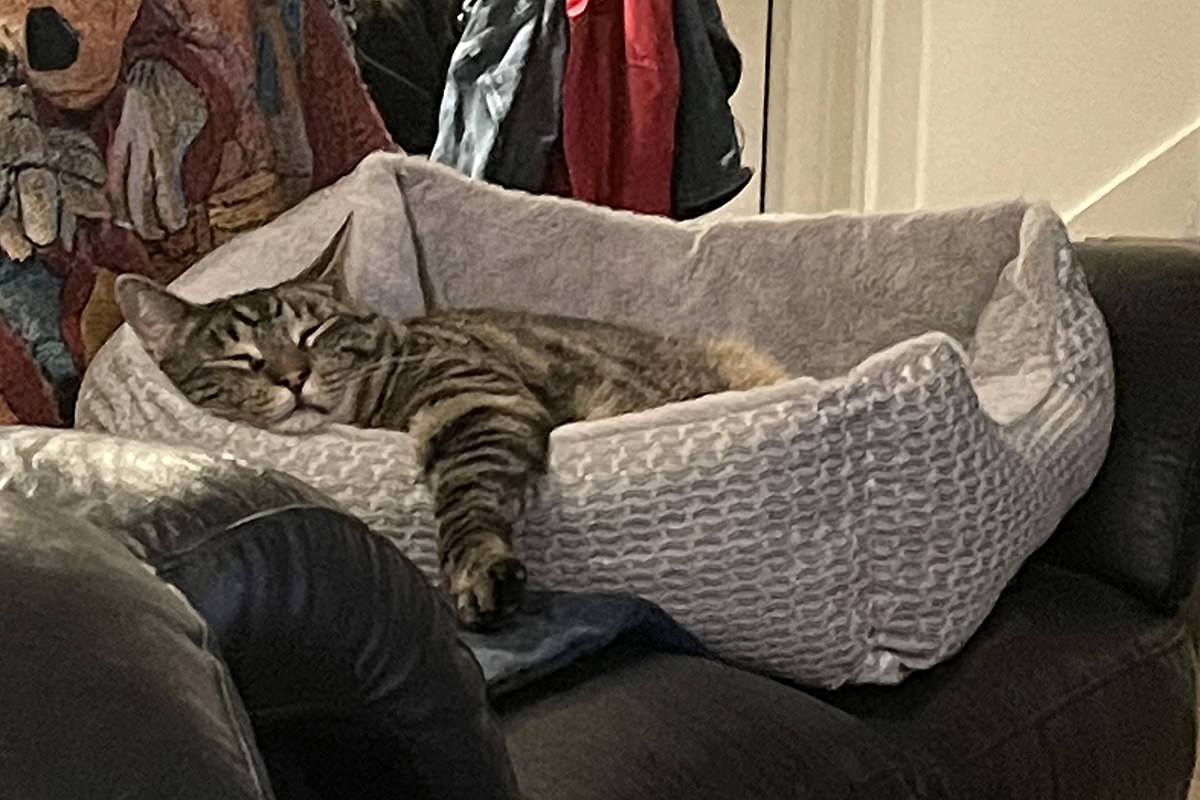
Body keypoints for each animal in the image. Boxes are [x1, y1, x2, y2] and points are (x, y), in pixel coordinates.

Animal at [114, 215, 787, 628]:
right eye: (240, 357)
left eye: (315, 332)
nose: (293, 377)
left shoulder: (474, 398)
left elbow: (467, 500)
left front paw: (476, 569)